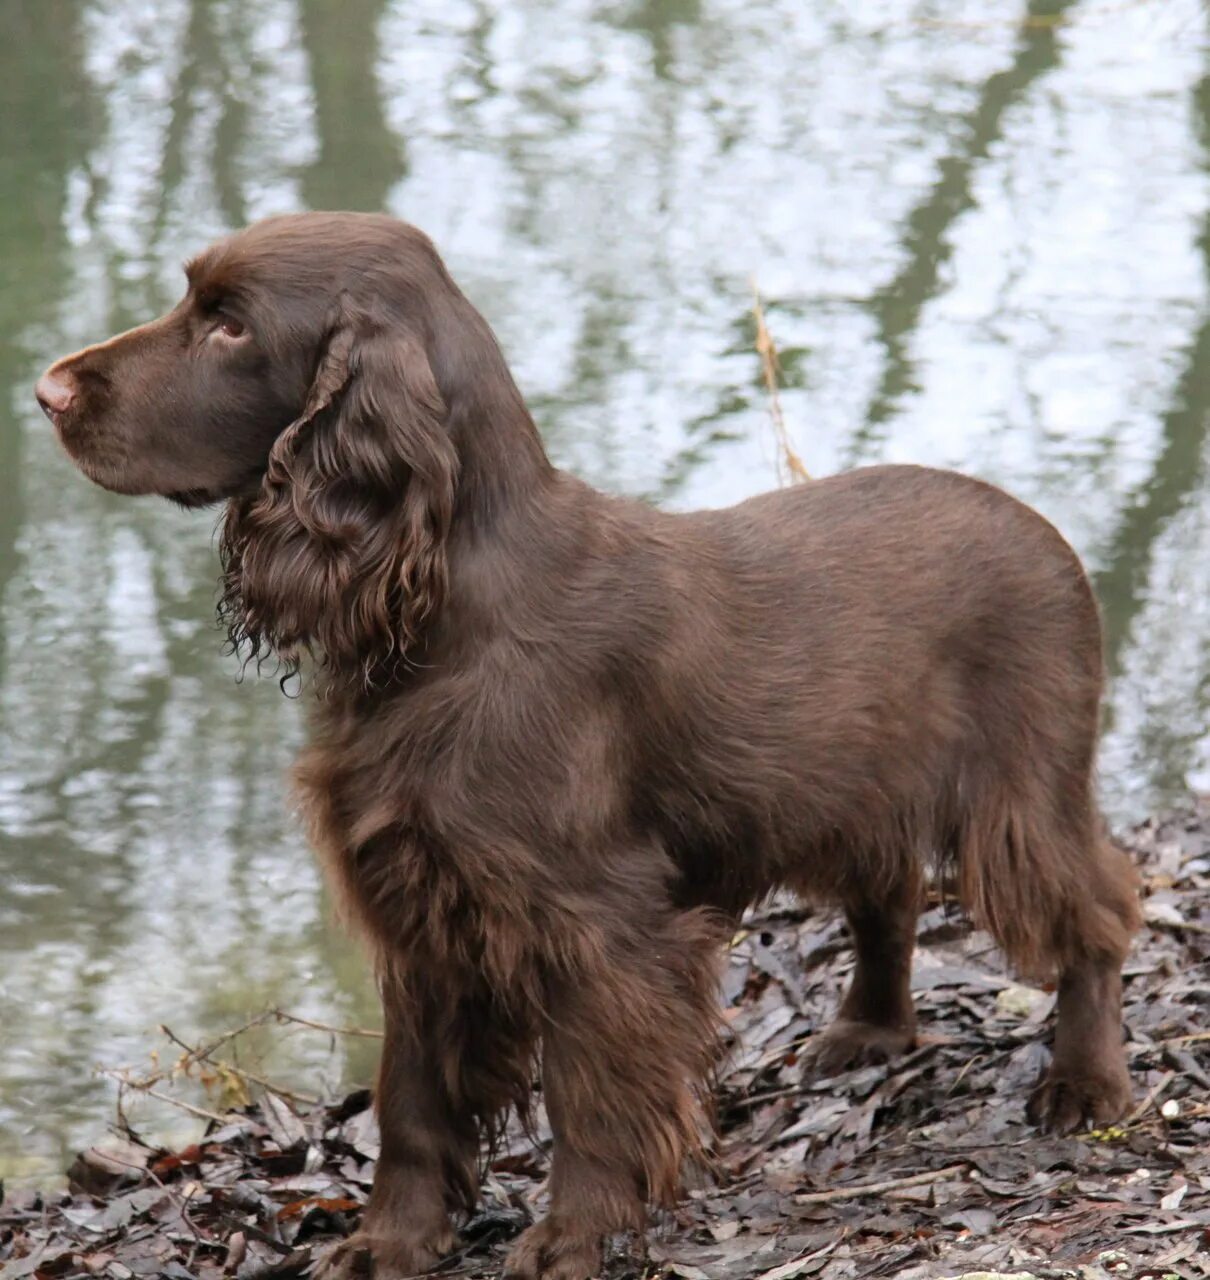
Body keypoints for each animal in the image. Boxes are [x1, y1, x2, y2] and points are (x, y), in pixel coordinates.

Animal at [35, 212, 1131, 1280]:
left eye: (229, 326)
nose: (45, 392)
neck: (449, 609)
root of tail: (1042, 527)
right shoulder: (423, 907)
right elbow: (411, 1103)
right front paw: (391, 1243)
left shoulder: (596, 927)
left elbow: (588, 1100)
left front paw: (571, 1238)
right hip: (848, 785)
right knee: (890, 890)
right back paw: (869, 1028)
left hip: (1018, 794)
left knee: (1099, 911)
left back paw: (1085, 1081)